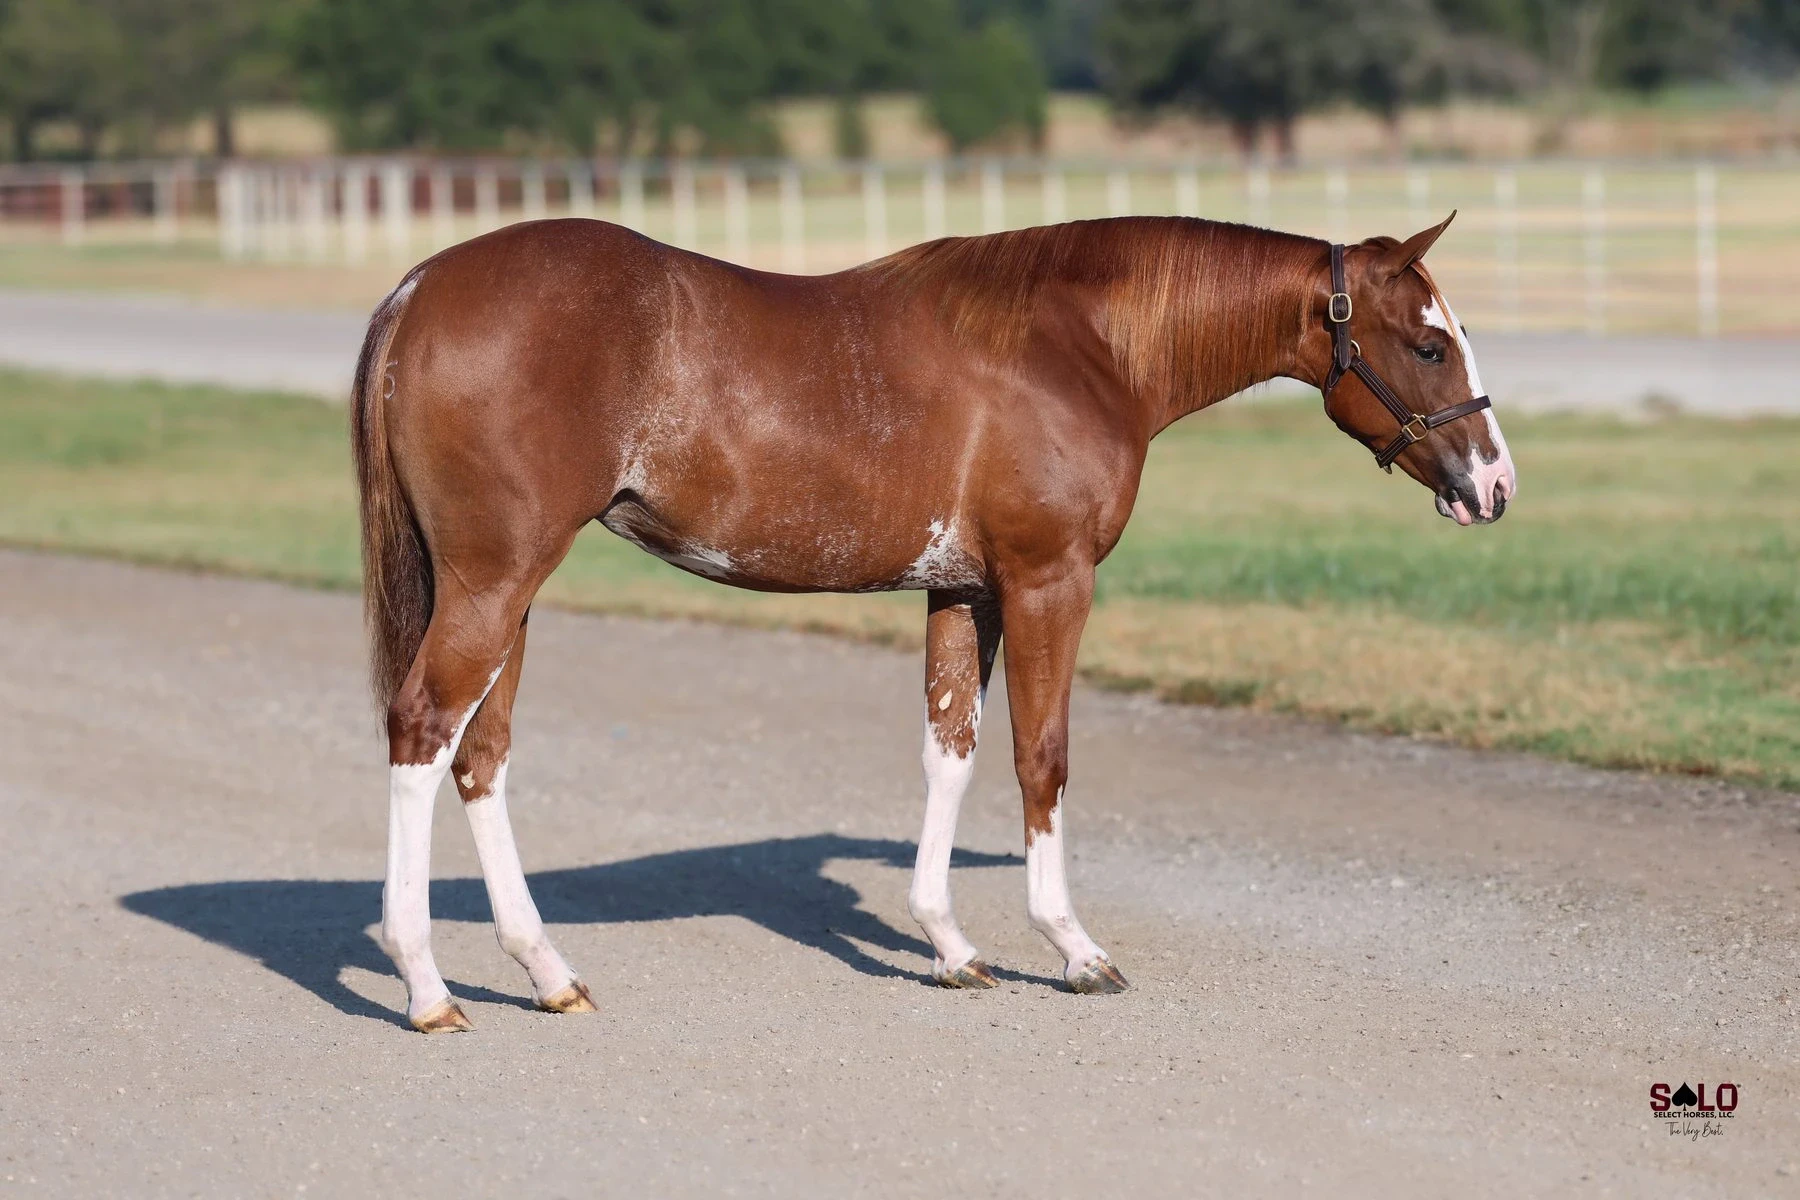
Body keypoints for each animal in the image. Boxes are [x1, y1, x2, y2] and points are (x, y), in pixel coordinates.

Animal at [352, 210, 1516, 1032]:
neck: (1080, 343)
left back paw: (546, 973)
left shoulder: (966, 591)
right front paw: (1072, 949)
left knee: (481, 755)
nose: (1495, 485)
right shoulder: (1050, 582)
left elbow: (950, 751)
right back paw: (425, 986)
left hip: (506, 595)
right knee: (422, 731)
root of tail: (419, 287)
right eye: (1428, 346)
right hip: (496, 582)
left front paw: (953, 947)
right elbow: (1041, 756)